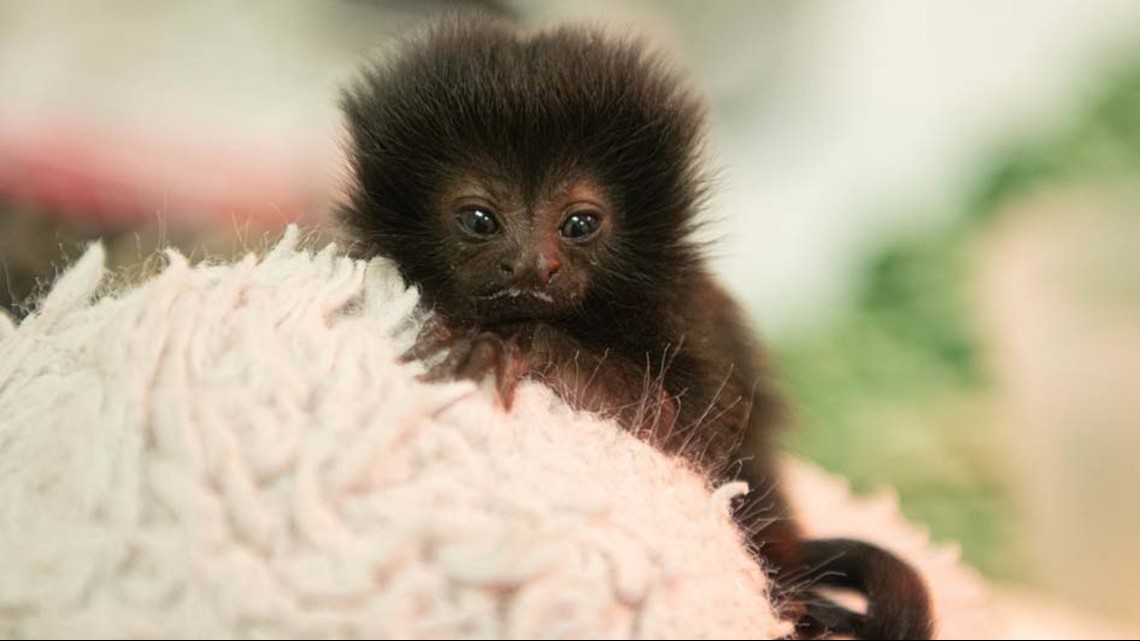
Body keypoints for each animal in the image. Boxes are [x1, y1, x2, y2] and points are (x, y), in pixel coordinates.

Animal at [337, 16, 934, 638]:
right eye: (480, 220)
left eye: (579, 224)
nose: (531, 265)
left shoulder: (683, 310)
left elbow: (681, 436)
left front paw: (510, 343)